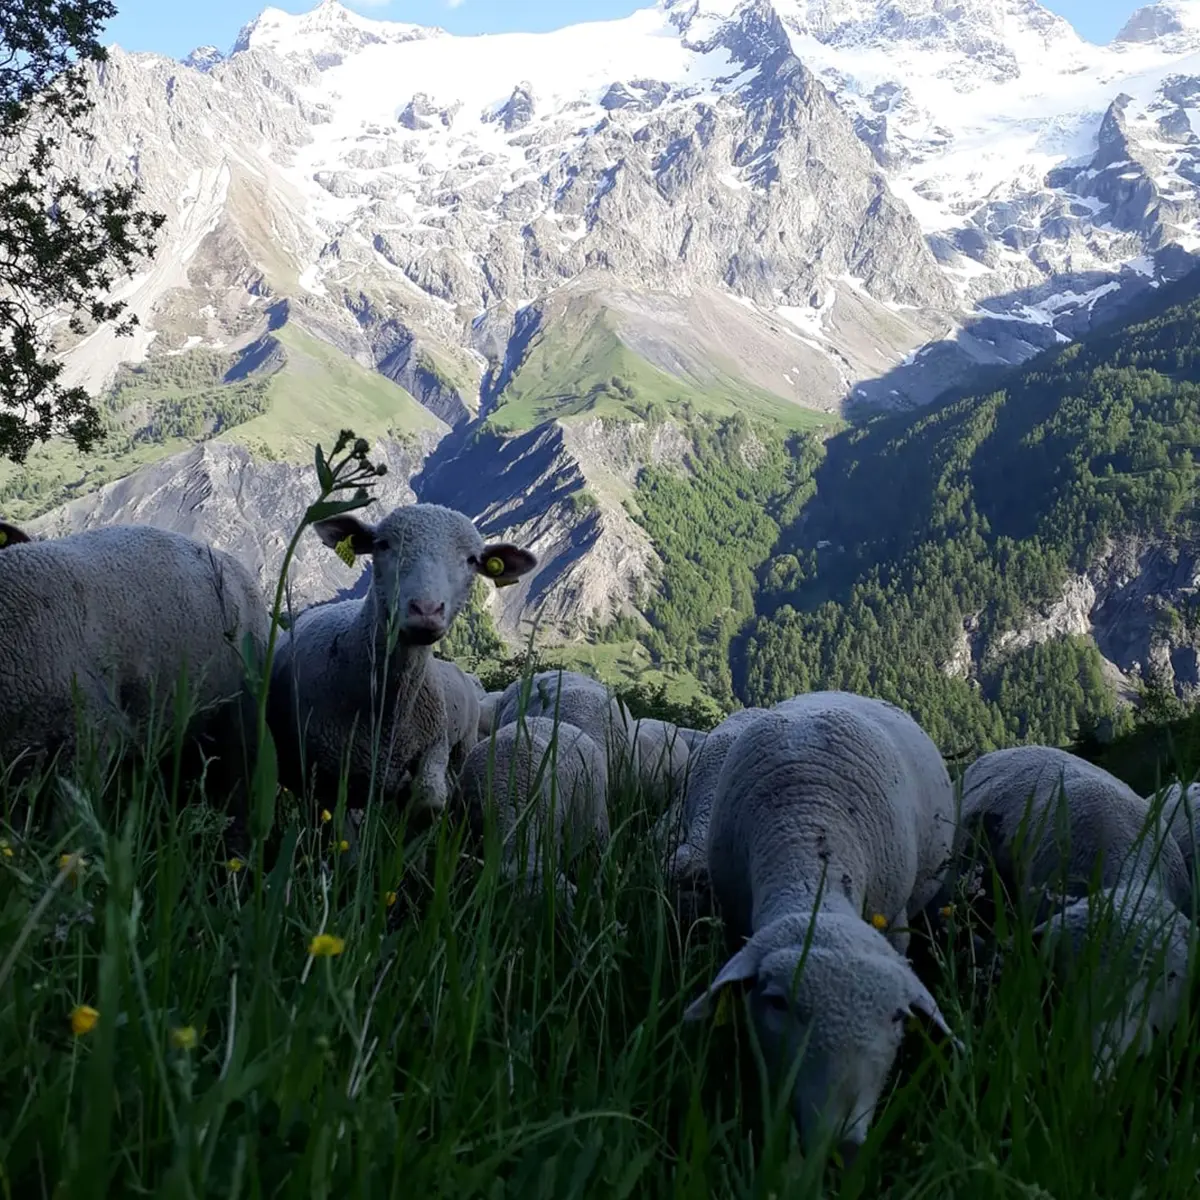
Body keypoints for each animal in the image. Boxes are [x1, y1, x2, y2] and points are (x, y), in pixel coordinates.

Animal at [267, 504, 536, 819]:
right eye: (383, 545)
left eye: (471, 560)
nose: (426, 610)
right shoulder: (322, 778)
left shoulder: (434, 746)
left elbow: (429, 800)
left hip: (464, 742)